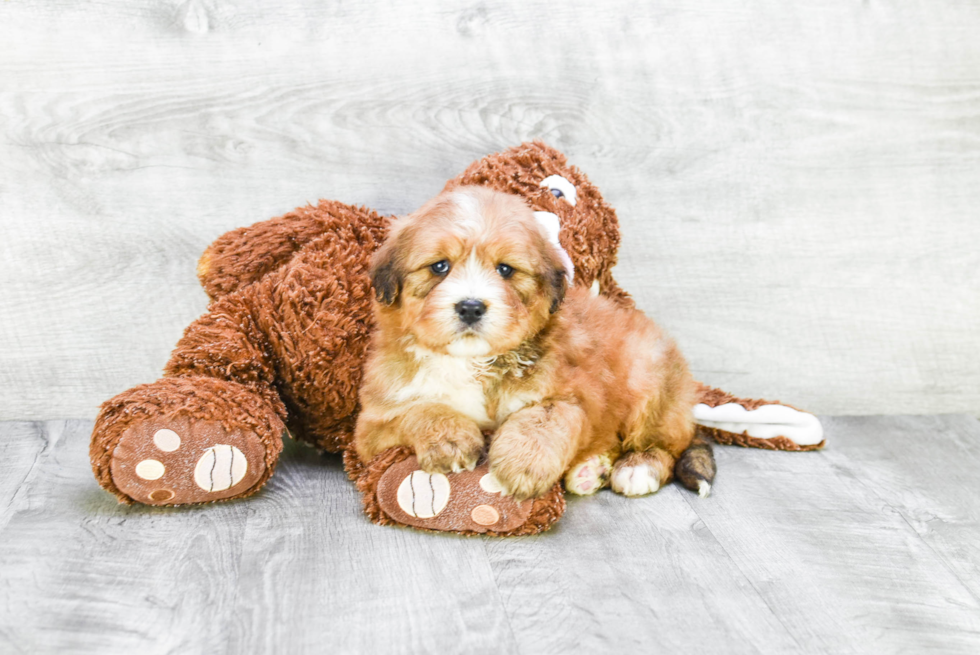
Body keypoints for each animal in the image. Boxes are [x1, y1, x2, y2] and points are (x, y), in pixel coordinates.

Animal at [352, 187, 696, 500]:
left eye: (505, 269)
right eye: (439, 266)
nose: (470, 307)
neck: (472, 361)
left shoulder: (577, 394)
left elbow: (545, 417)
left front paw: (524, 463)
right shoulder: (371, 425)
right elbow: (418, 409)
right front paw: (450, 439)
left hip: (649, 381)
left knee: (669, 445)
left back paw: (638, 468)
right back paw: (591, 470)